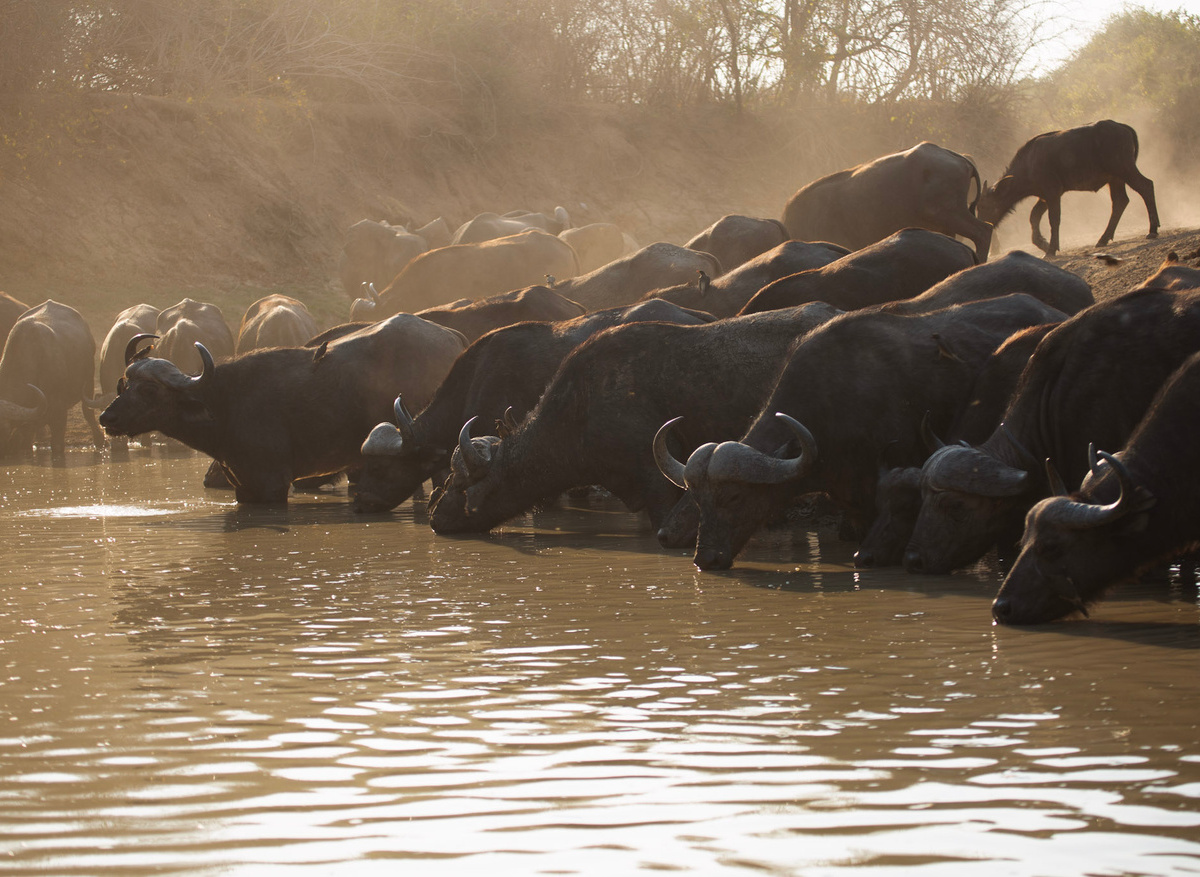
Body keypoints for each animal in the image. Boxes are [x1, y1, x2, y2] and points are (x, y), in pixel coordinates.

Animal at [98, 314, 466, 503]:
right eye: (124, 384)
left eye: (149, 390)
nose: (107, 417)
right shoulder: (244, 488)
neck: (225, 402)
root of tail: (453, 338)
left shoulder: (270, 484)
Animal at [976, 120, 1158, 257]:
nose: (983, 224)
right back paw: (1103, 239)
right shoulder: (1044, 196)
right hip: (1115, 179)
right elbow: (1034, 217)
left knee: (1146, 186)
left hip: (1124, 169)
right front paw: (1043, 244)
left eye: (984, 206)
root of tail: (1122, 126)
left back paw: (1153, 230)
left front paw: (1050, 249)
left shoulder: (1053, 193)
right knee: (1120, 201)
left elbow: (1053, 219)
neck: (1029, 163)